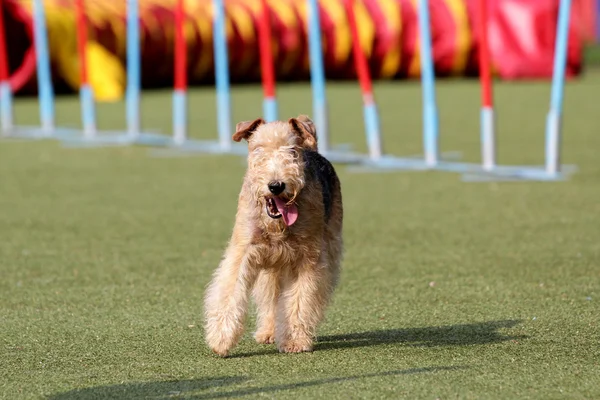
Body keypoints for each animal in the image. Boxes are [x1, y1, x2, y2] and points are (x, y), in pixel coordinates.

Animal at [204, 114, 342, 354]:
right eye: (259, 150)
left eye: (292, 151)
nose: (276, 185)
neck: (276, 225)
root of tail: (313, 149)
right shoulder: (243, 250)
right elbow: (230, 291)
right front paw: (221, 338)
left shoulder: (307, 258)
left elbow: (299, 300)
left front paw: (295, 341)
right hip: (272, 268)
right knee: (270, 301)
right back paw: (268, 332)